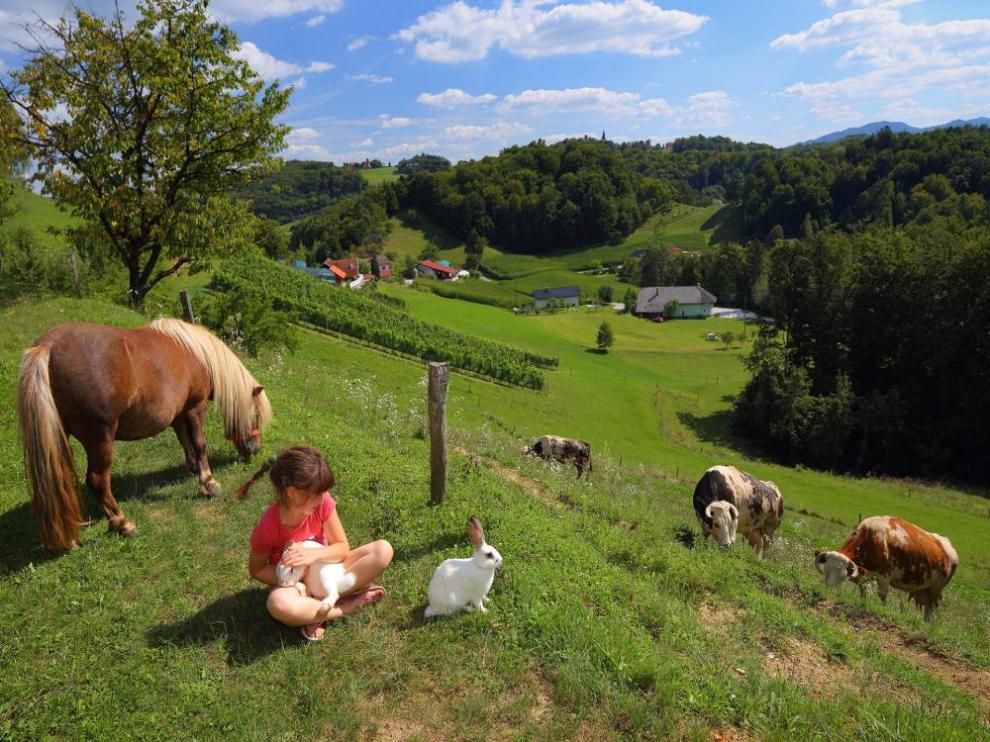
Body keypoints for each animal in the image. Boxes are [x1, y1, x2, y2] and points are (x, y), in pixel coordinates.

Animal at [16, 320, 272, 552]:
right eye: (255, 414)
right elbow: (199, 443)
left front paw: (193, 469)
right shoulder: (194, 406)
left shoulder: (178, 413)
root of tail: (47, 348)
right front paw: (208, 481)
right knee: (97, 480)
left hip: (59, 437)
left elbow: (184, 440)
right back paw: (122, 524)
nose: (254, 450)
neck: (198, 355)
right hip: (100, 438)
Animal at [812, 516, 960, 620]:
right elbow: (863, 591)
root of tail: (948, 546)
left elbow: (882, 597)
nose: (828, 591)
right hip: (925, 589)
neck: (871, 538)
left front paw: (882, 610)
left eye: (842, 576)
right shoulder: (863, 575)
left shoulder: (884, 576)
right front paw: (863, 601)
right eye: (826, 572)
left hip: (936, 589)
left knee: (931, 608)